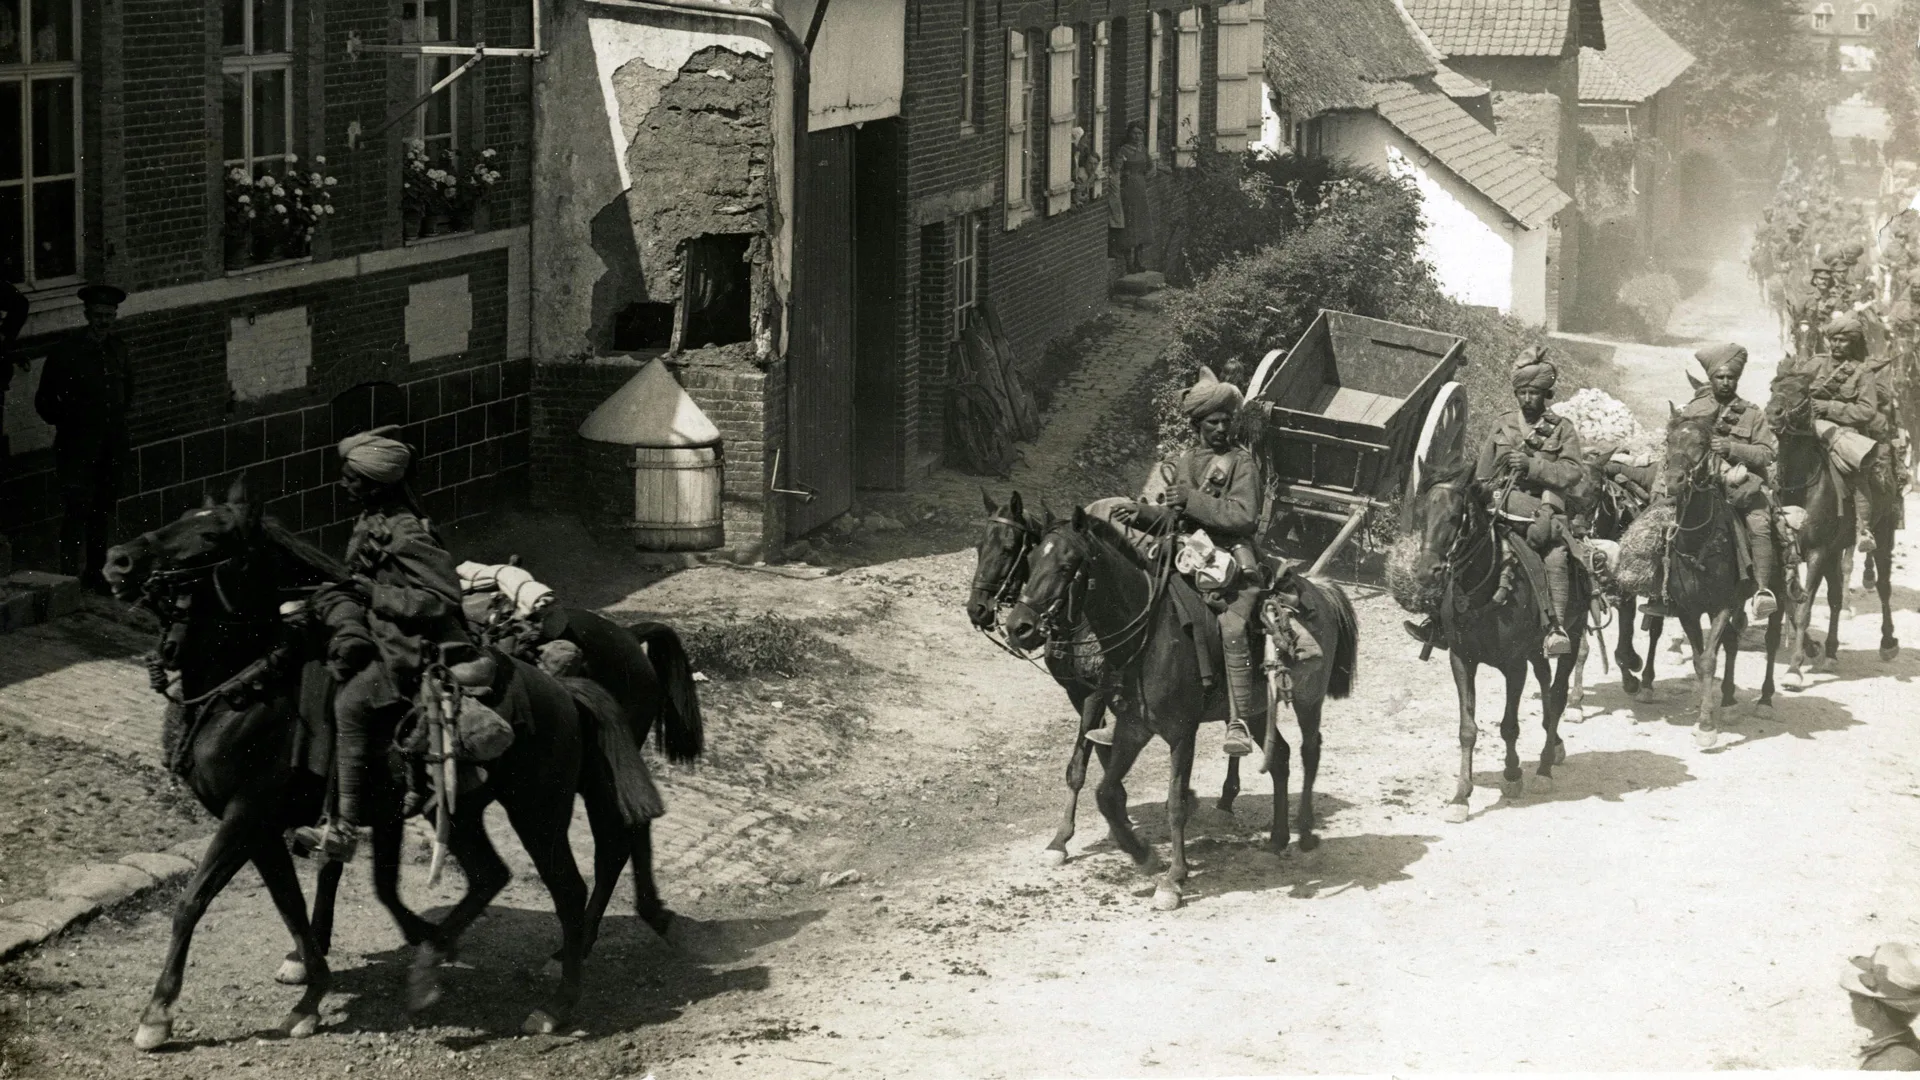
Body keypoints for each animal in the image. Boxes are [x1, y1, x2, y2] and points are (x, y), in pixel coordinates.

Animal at [101, 478, 691, 1045]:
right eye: (177, 517)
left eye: (209, 536)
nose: (117, 560)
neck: (250, 690)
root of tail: (567, 686)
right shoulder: (269, 827)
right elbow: (295, 903)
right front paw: (310, 989)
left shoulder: (246, 816)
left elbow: (193, 901)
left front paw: (158, 1014)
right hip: (467, 808)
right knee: (499, 872)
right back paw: (445, 959)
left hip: (540, 808)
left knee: (581, 877)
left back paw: (557, 999)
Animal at [998, 507, 1359, 903]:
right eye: (1030, 560)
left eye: (1066, 566)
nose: (1019, 626)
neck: (1149, 636)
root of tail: (1320, 590)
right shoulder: (1133, 726)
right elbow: (1105, 792)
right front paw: (1144, 857)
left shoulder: (1182, 733)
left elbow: (1175, 803)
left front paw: (1174, 878)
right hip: (1259, 709)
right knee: (1280, 756)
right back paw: (1277, 840)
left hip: (1309, 699)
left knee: (1311, 750)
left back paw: (1305, 833)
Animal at [1413, 457, 1589, 818]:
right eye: (1421, 513)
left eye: (1455, 516)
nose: (1426, 572)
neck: (1484, 589)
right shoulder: (1461, 660)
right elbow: (1467, 729)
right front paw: (1460, 796)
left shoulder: (1514, 665)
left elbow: (1509, 725)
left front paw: (1511, 774)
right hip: (1536, 652)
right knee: (1547, 690)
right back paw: (1554, 747)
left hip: (1573, 635)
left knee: (1558, 695)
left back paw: (1544, 768)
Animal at [1651, 407, 1781, 745]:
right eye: (1669, 440)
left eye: (1702, 443)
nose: (1674, 480)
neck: (1698, 541)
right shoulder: (1688, 610)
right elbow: (1700, 660)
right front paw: (1706, 713)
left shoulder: (1719, 606)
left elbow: (1710, 658)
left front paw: (1707, 727)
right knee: (1733, 642)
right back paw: (1729, 700)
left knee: (1772, 640)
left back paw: (1765, 700)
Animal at [1758, 368, 1896, 672]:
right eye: (1773, 387)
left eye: (1802, 390)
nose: (1773, 413)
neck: (1800, 485)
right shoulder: (1789, 552)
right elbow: (1792, 604)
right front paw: (1810, 649)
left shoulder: (1817, 552)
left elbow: (1804, 609)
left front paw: (1795, 667)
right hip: (1835, 551)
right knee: (1834, 598)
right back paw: (1831, 650)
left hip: (1883, 533)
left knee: (1883, 586)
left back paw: (1887, 643)